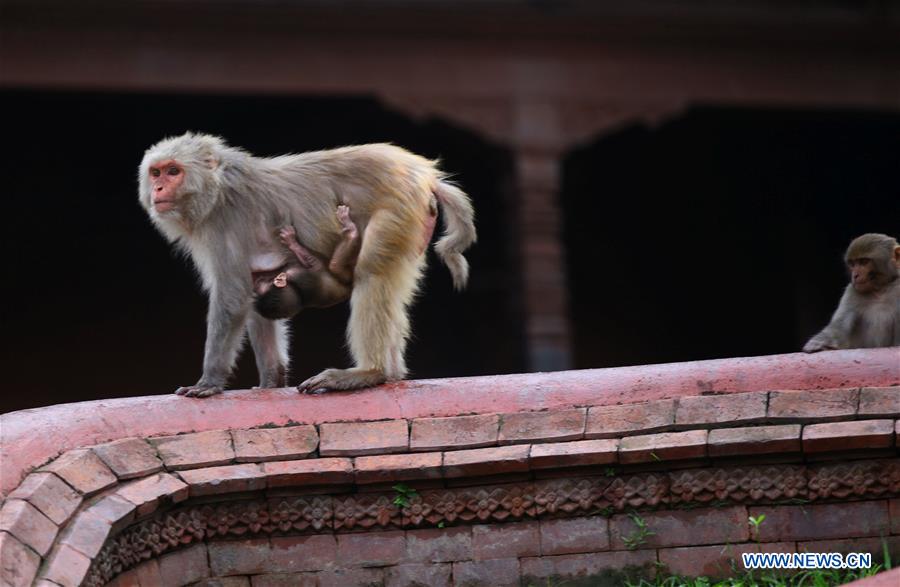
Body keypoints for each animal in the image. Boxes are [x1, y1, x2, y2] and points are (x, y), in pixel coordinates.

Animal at [137, 134, 474, 400]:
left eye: (173, 171)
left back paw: (369, 372)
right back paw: (390, 374)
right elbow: (255, 292)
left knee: (372, 275)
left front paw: (209, 381)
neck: (218, 190)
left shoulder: (224, 226)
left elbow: (233, 296)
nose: (158, 190)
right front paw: (271, 381)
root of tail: (426, 176)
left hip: (396, 210)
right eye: (155, 173)